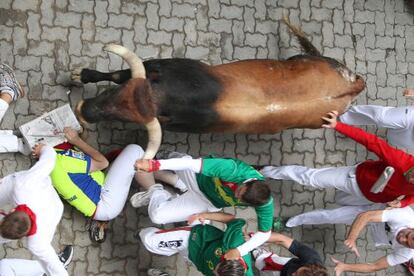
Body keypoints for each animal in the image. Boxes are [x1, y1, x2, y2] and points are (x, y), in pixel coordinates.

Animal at [73, 20, 364, 158]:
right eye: (112, 95)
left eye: (122, 116)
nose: (84, 111)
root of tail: (356, 83)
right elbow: (117, 74)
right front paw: (82, 74)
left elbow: (117, 73)